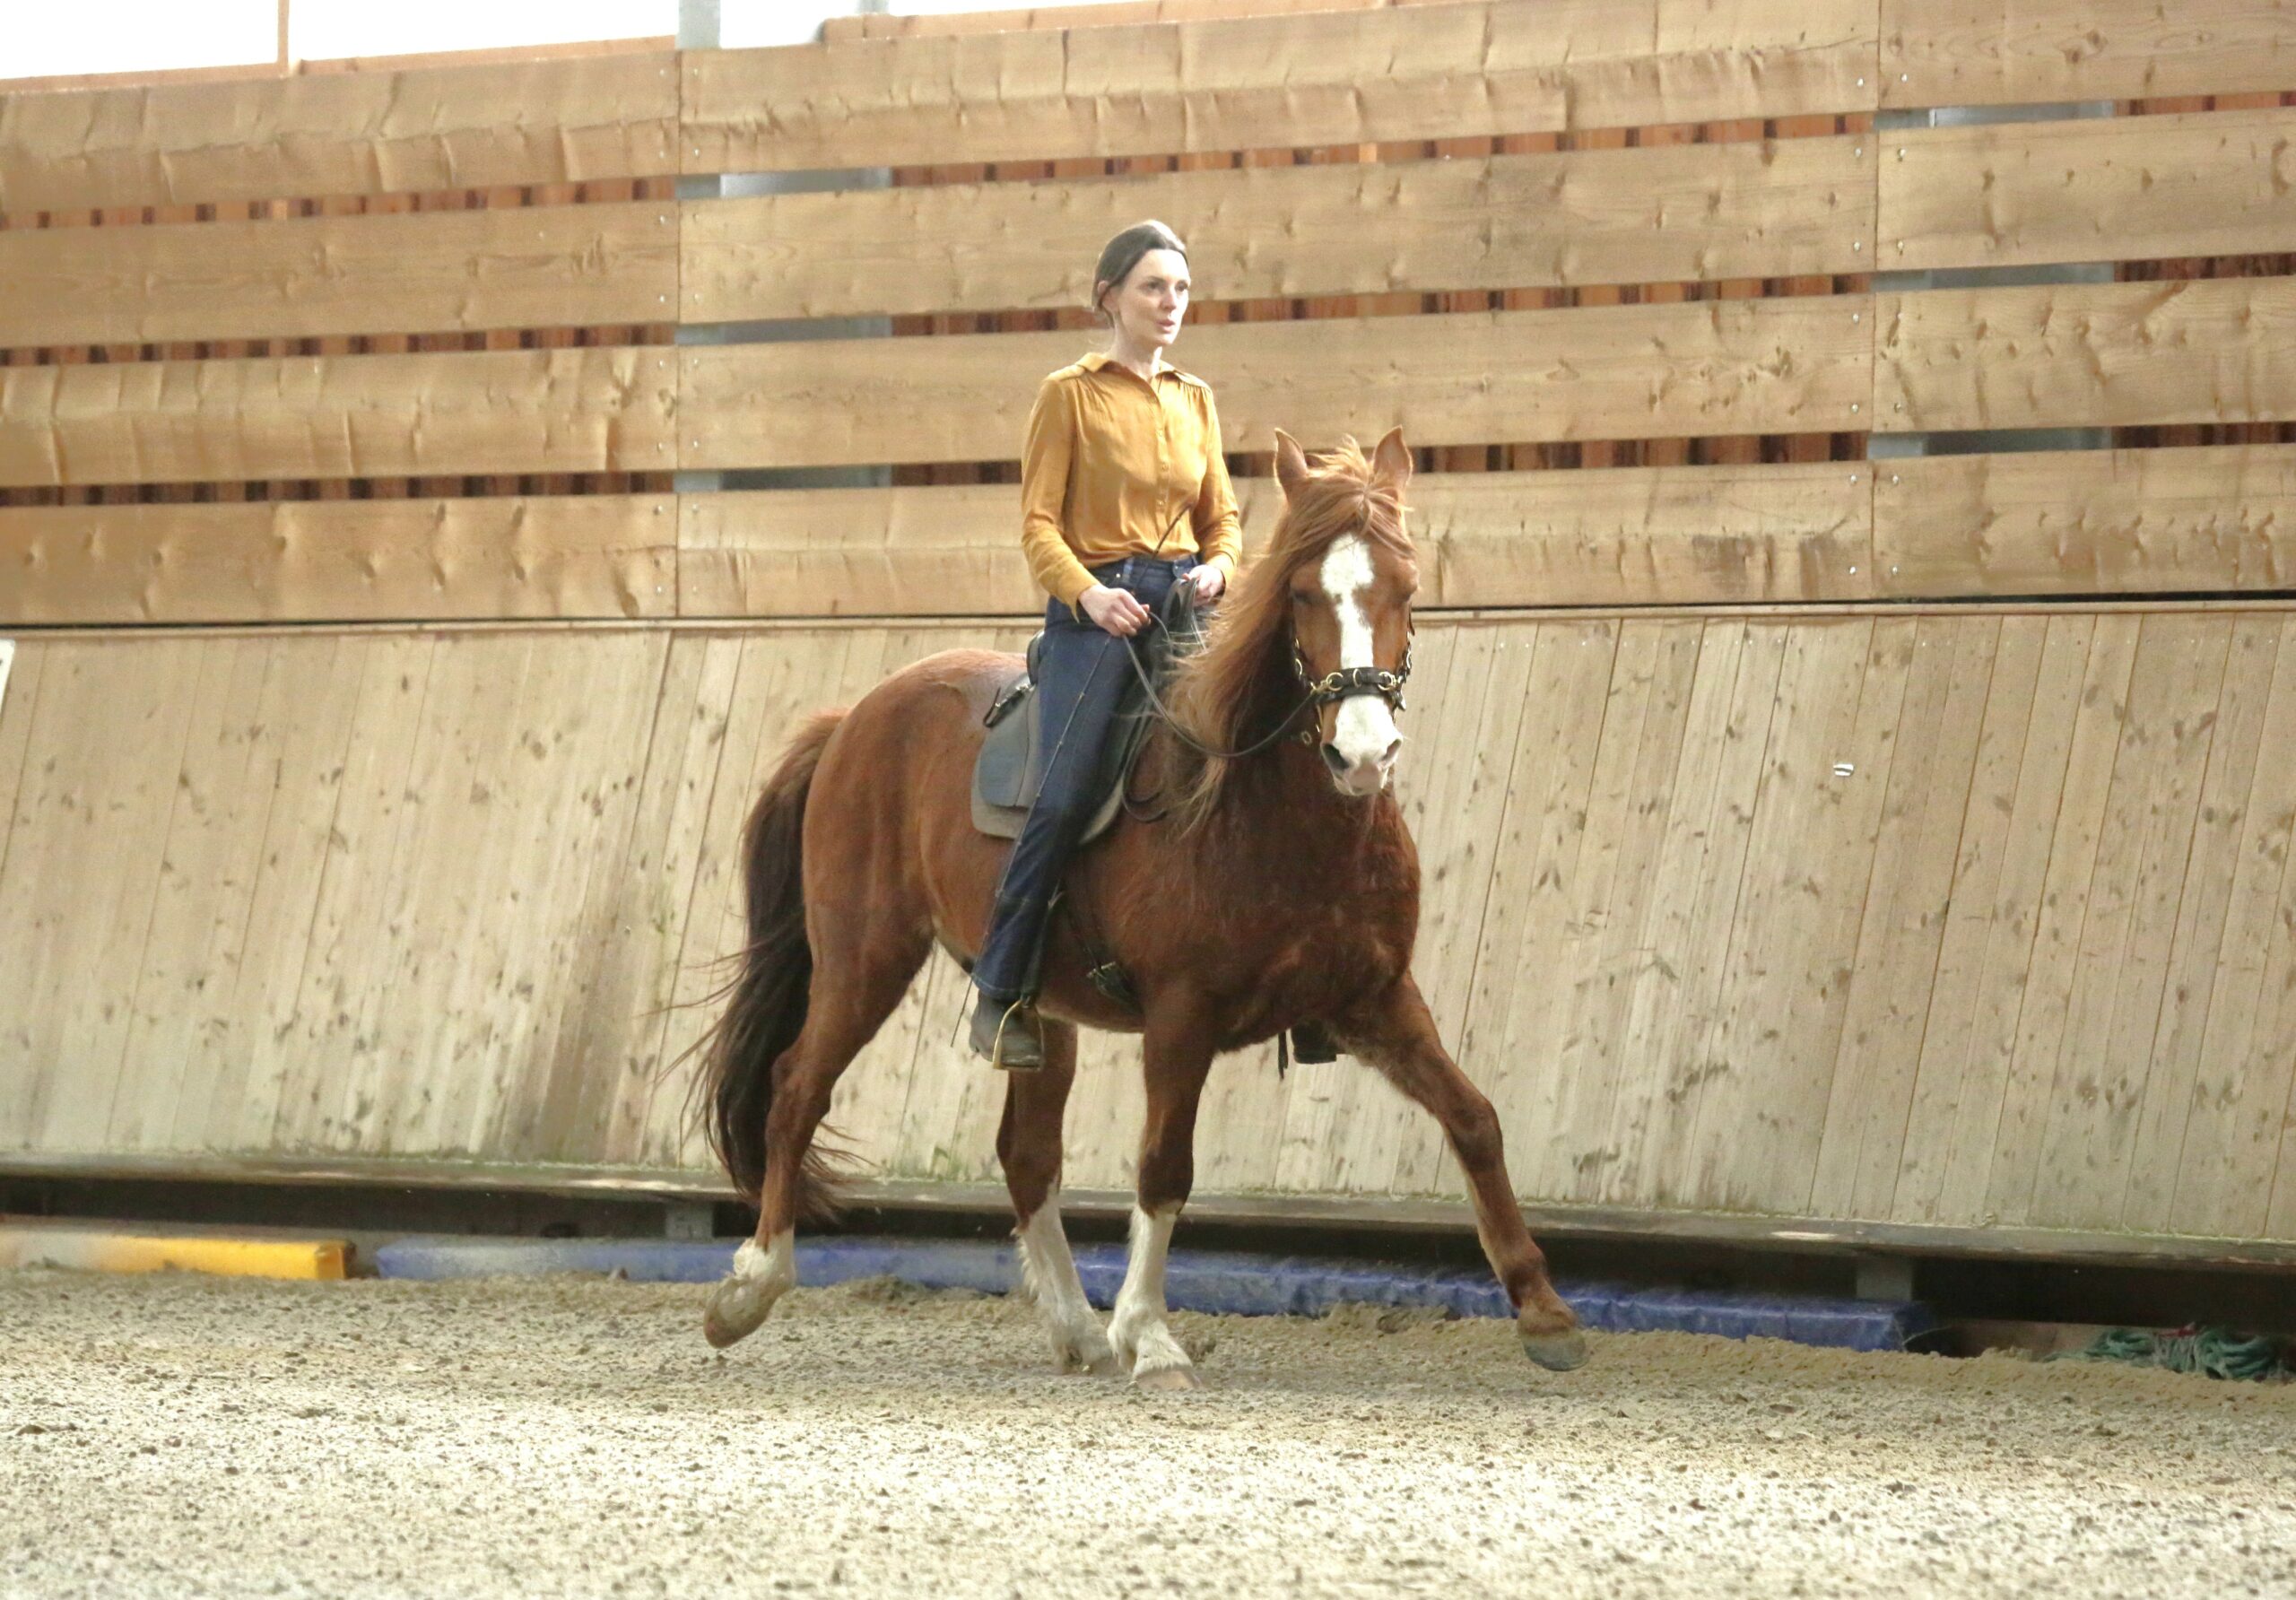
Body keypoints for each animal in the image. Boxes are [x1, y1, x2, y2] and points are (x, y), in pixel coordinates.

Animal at [698, 427, 1588, 1386]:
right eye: (1302, 592)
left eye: (1407, 587)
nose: (1362, 754)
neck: (1271, 815)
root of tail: (853, 719)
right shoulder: (1181, 1015)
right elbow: (1165, 1168)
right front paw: (1152, 1335)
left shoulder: (1376, 998)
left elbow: (1475, 1119)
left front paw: (1544, 1309)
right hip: (864, 960)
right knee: (797, 1089)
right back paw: (749, 1287)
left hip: (1036, 1013)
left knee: (1026, 1157)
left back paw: (1076, 1329)